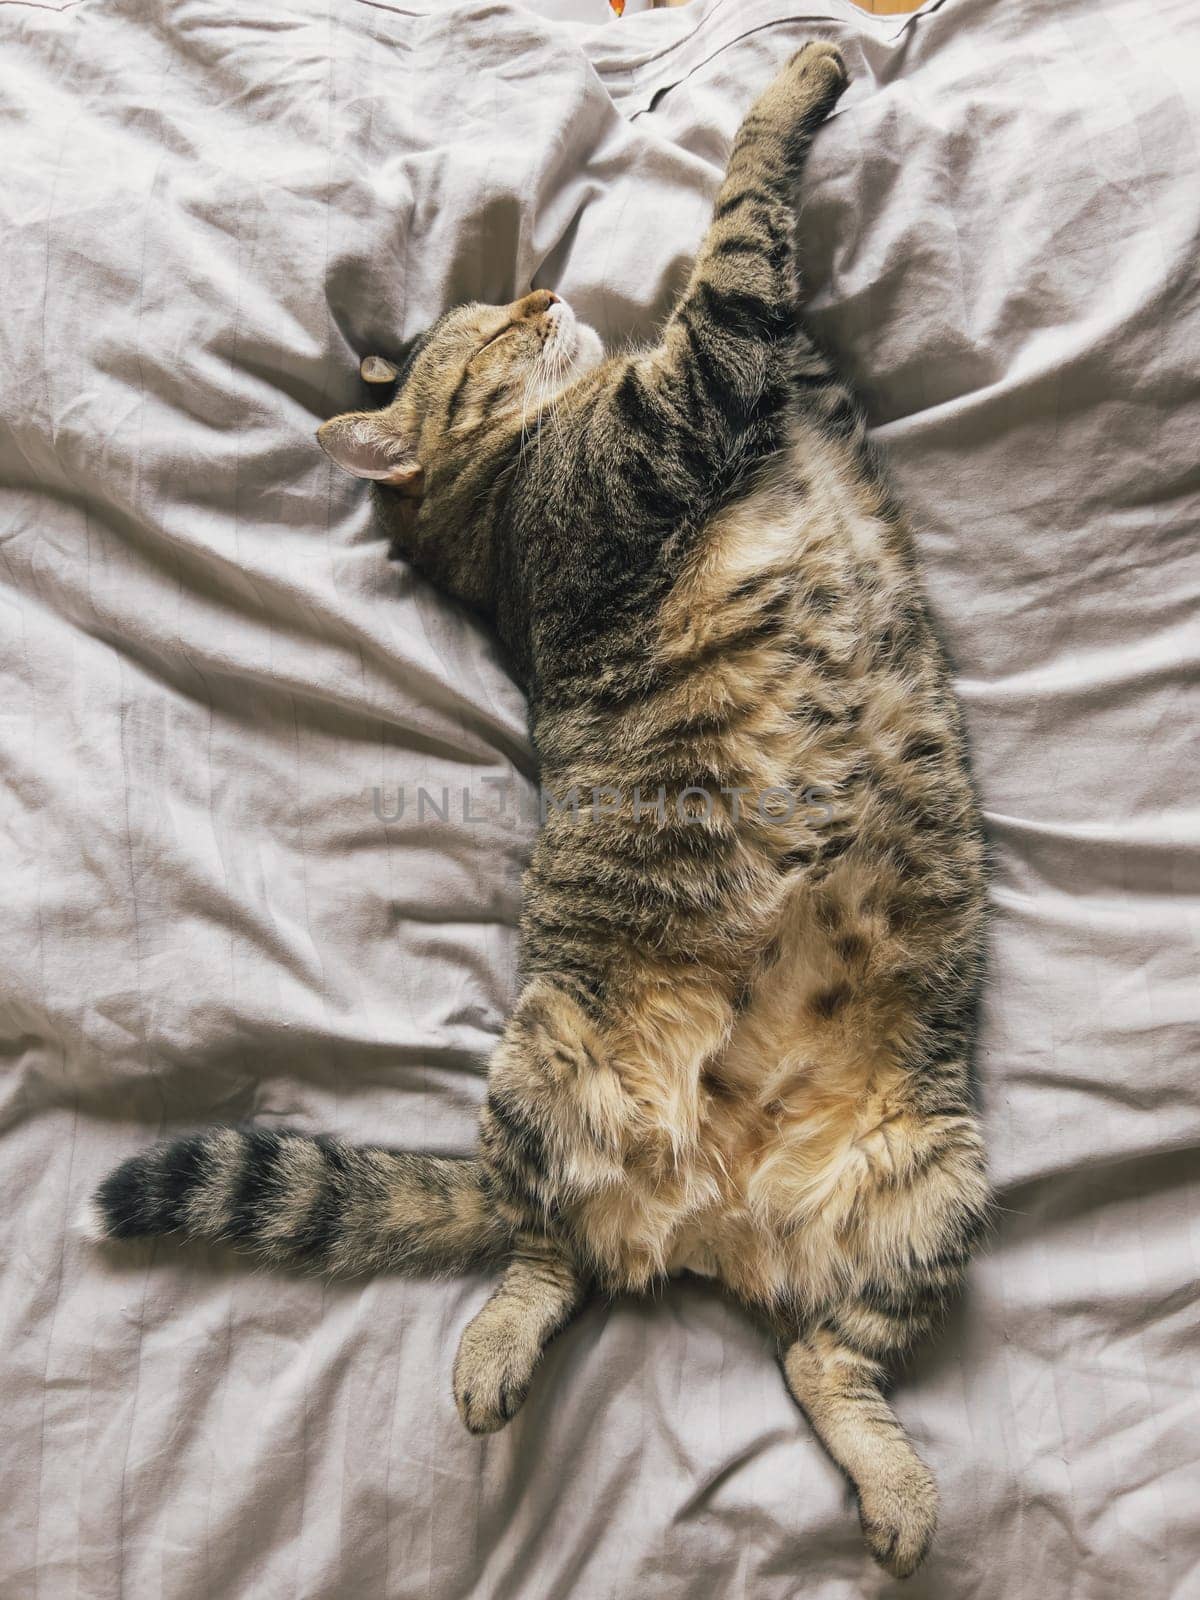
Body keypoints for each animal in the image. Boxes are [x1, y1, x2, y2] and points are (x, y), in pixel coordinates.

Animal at [89, 46, 992, 1574]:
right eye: (492, 332)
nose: (542, 291)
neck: (498, 492)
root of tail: (711, 1219)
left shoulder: (779, 389)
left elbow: (768, 289)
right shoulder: (679, 409)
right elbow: (738, 229)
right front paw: (795, 73)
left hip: (936, 1187)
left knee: (820, 1357)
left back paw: (898, 1494)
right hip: (545, 1072)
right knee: (546, 1250)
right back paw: (493, 1360)